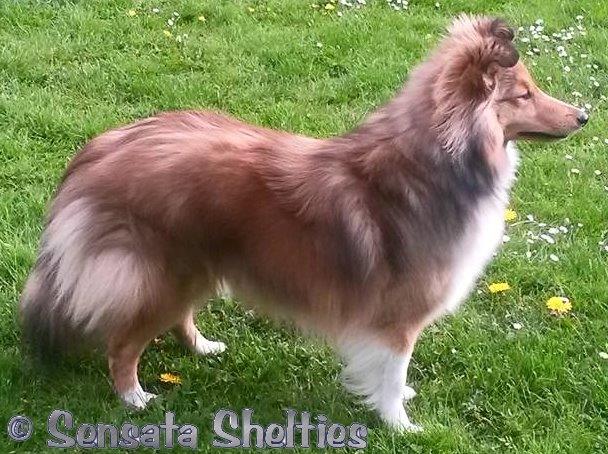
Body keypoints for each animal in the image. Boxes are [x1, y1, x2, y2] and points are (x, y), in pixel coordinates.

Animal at [20, 15, 587, 431]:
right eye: (523, 95)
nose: (583, 116)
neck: (437, 163)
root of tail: (97, 150)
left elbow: (391, 371)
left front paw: (398, 403)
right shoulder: (398, 317)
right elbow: (390, 371)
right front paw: (400, 424)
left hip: (200, 264)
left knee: (178, 319)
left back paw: (202, 348)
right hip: (160, 273)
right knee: (122, 343)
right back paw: (134, 397)